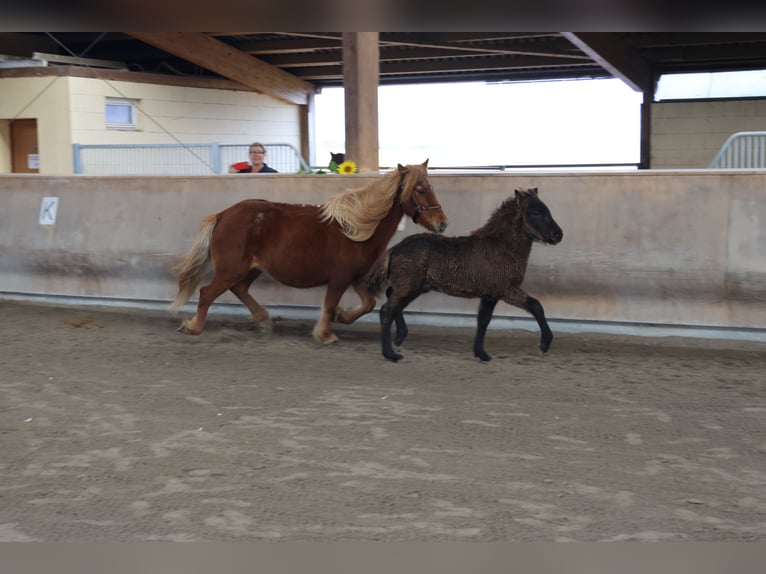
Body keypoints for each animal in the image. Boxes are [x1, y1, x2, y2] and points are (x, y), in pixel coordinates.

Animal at [172, 160, 450, 344]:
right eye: (420, 189)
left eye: (430, 187)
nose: (442, 223)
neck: (357, 228)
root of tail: (222, 215)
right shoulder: (339, 279)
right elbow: (329, 305)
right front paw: (325, 334)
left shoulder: (356, 278)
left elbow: (368, 303)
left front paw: (341, 316)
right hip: (231, 270)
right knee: (207, 293)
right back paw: (194, 327)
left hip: (251, 269)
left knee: (239, 290)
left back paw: (263, 320)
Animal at [366, 189, 564, 362]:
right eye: (535, 212)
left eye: (547, 209)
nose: (558, 235)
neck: (501, 247)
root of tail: (394, 249)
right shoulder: (505, 290)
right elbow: (535, 306)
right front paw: (544, 344)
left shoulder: (491, 294)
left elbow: (484, 321)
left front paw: (481, 354)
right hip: (409, 286)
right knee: (387, 311)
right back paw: (391, 354)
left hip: (415, 287)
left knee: (391, 298)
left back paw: (400, 336)